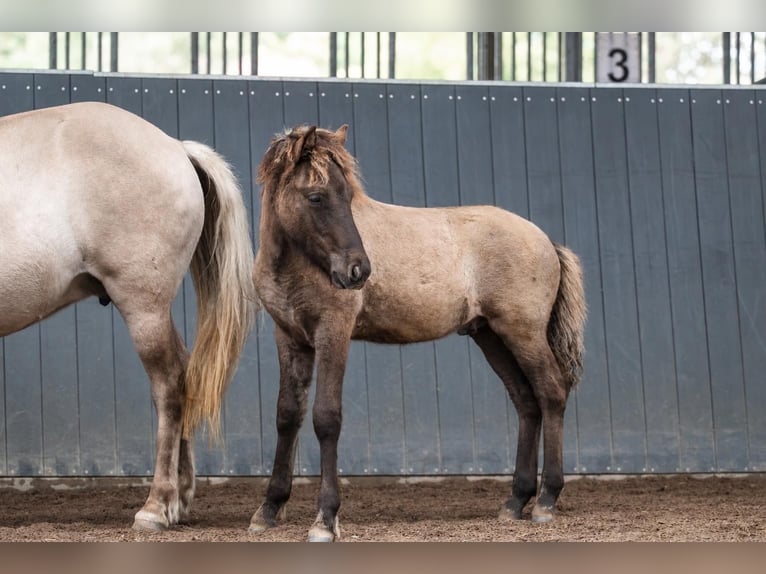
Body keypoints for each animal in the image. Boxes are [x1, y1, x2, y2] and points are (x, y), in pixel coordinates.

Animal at [0, 101, 256, 531]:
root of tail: (175, 147)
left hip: (143, 307)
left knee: (169, 387)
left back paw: (156, 506)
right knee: (183, 376)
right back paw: (178, 500)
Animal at [250, 124, 587, 541]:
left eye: (348, 195)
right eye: (316, 196)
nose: (358, 270)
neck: (297, 263)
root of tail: (546, 241)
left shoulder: (333, 333)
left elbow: (326, 418)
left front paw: (325, 519)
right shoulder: (289, 338)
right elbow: (287, 416)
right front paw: (268, 509)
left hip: (522, 332)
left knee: (551, 392)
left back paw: (546, 500)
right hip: (490, 336)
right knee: (526, 401)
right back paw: (515, 501)